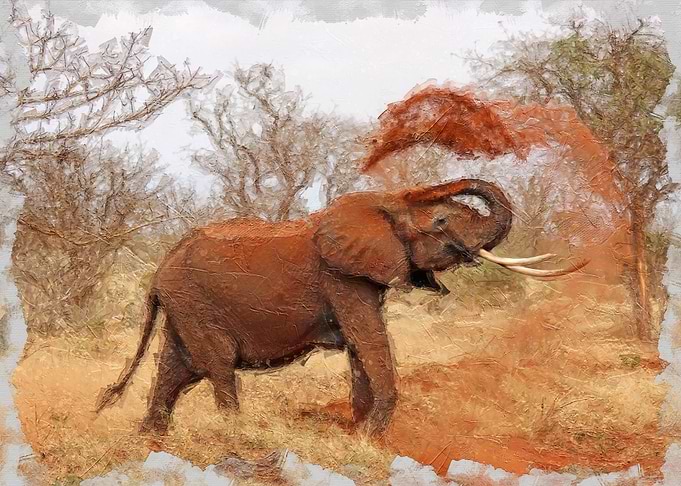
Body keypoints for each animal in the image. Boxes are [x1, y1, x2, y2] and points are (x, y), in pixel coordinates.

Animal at [95, 178, 583, 437]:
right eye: (442, 221)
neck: (382, 207)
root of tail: (158, 272)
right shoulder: (342, 277)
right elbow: (368, 339)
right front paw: (370, 435)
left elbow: (360, 347)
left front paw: (362, 431)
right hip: (195, 303)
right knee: (215, 364)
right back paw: (233, 431)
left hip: (184, 305)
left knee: (176, 368)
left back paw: (151, 438)